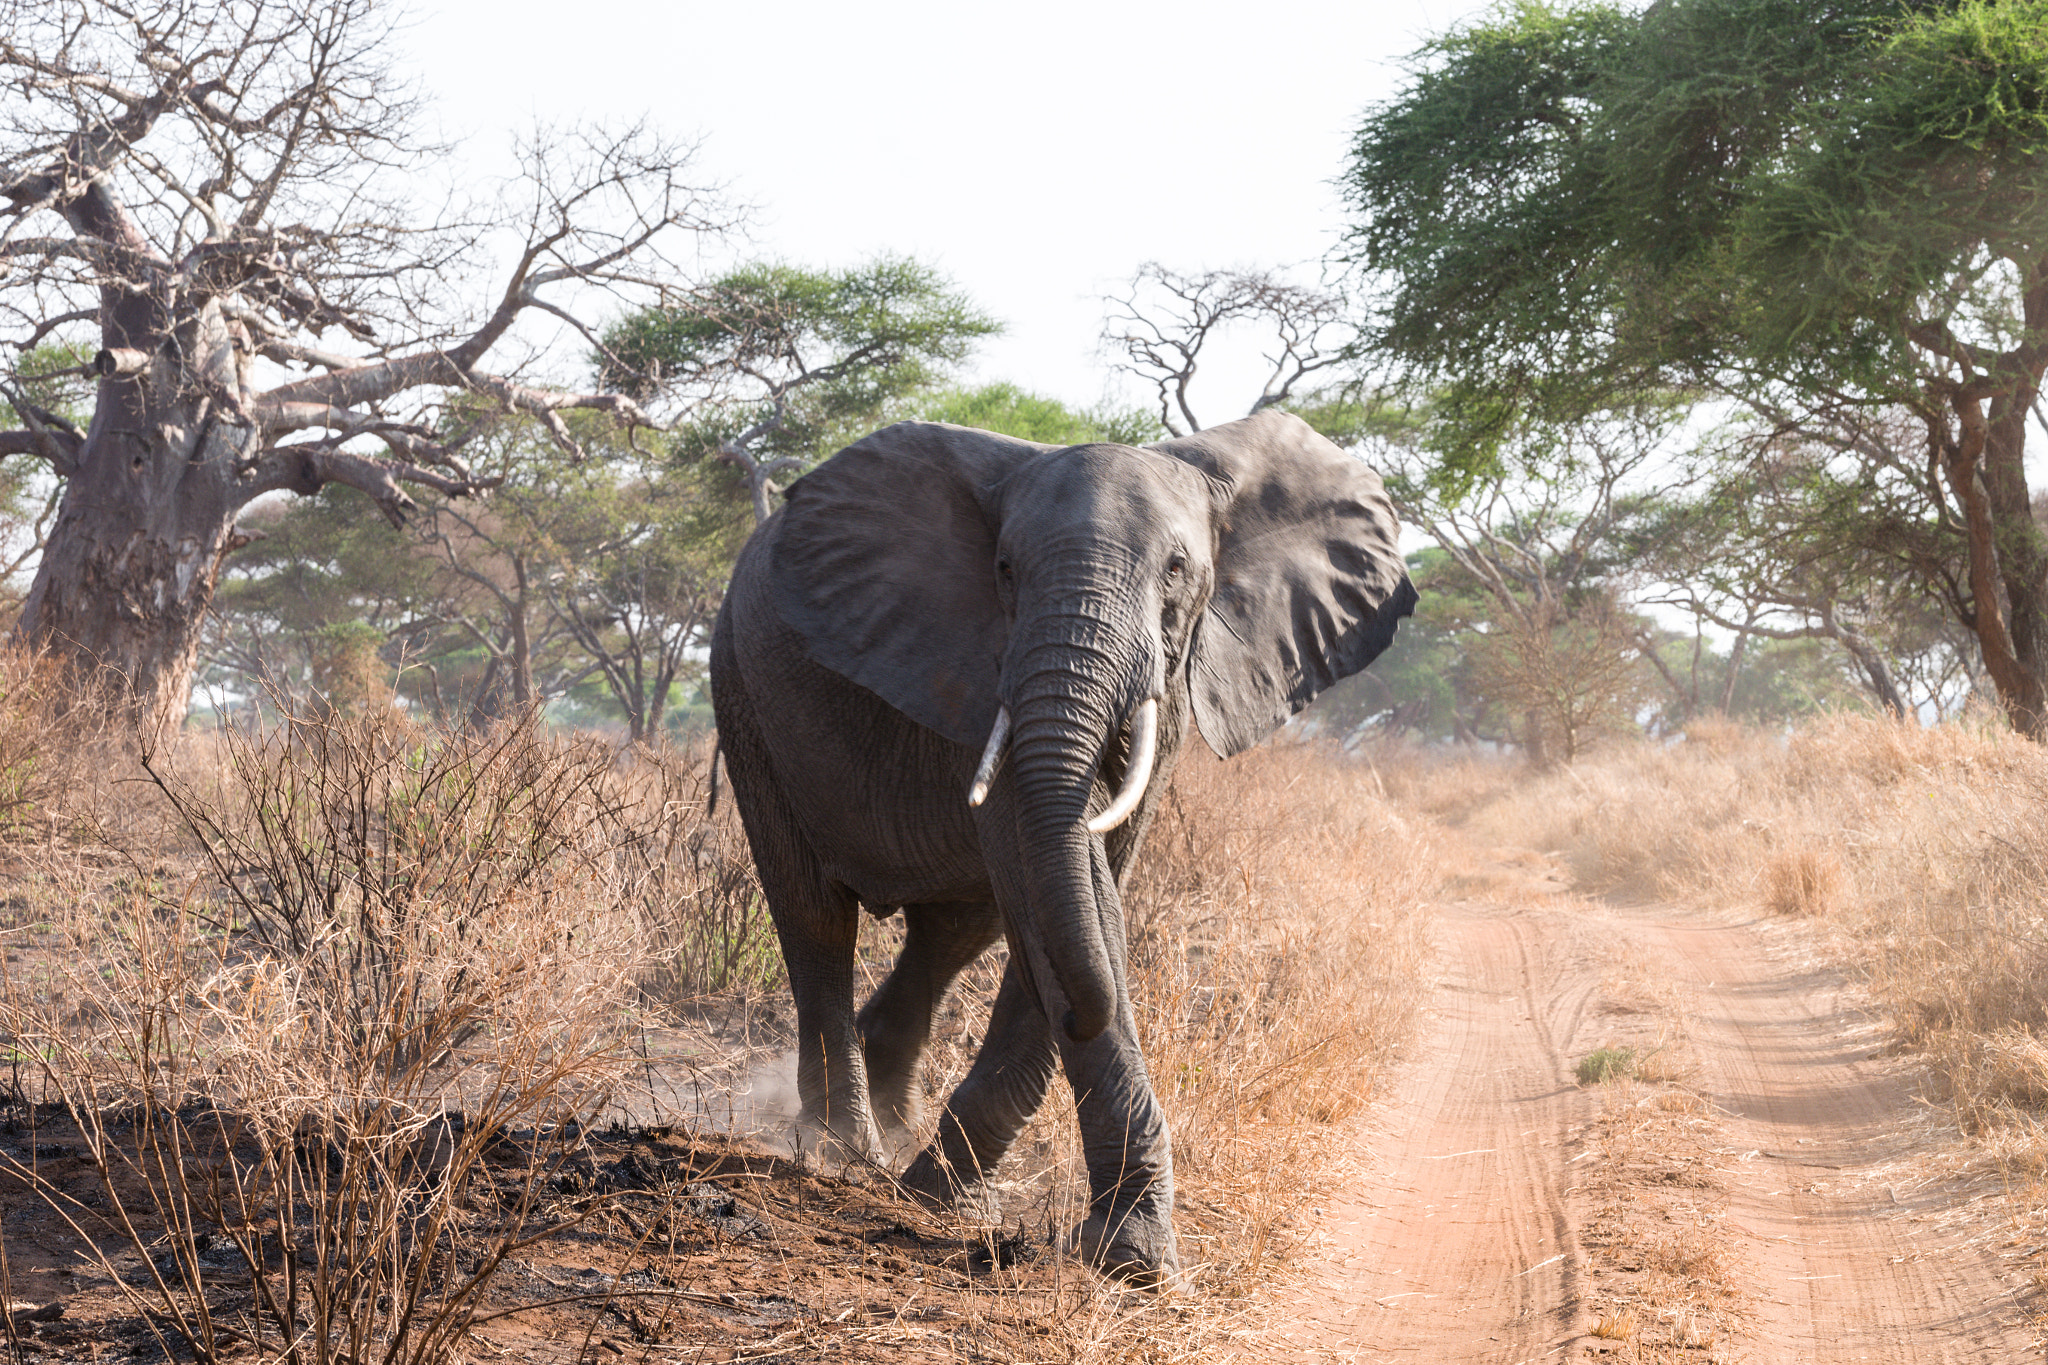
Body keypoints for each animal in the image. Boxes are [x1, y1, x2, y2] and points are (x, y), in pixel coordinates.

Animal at [708, 409, 1415, 1285]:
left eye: (1177, 569)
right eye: (1004, 570)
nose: (1084, 1010)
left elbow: (1082, 879)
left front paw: (964, 1201)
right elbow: (1052, 872)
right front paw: (1130, 1254)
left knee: (956, 929)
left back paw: (895, 1131)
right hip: (743, 691)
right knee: (815, 916)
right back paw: (846, 1151)